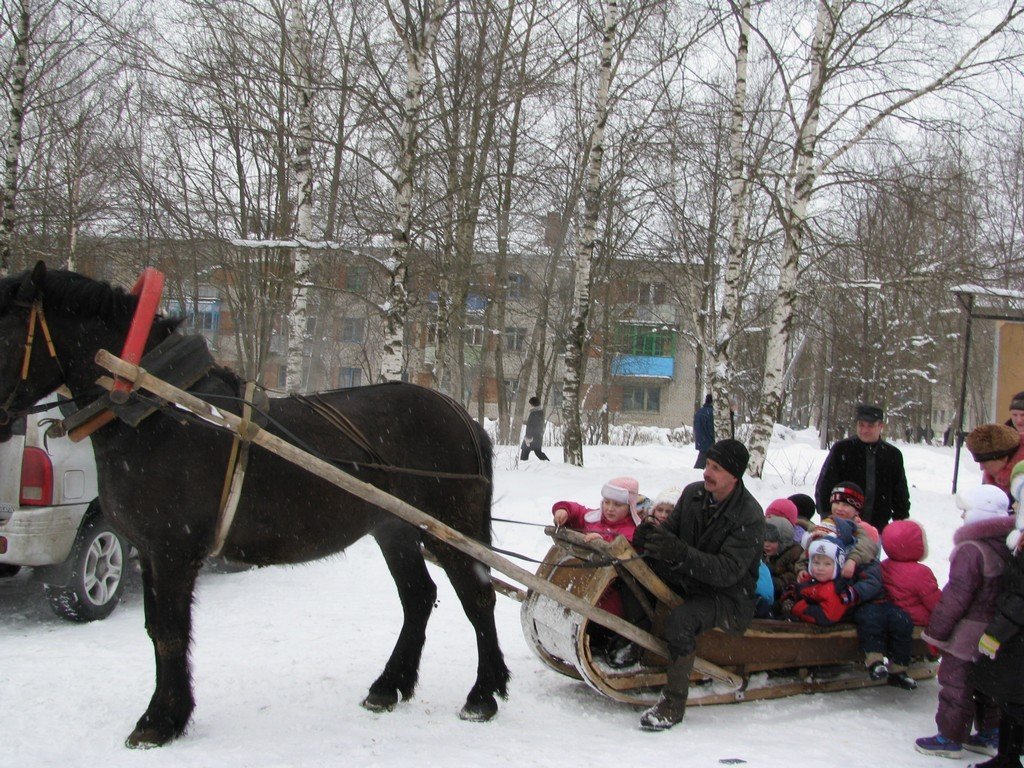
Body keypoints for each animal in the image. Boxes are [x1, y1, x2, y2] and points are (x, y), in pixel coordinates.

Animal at [0, 264, 509, 745]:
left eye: (4, 329)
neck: (159, 408)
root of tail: (464, 417)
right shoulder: (148, 550)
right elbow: (155, 629)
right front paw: (168, 714)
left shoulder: (172, 550)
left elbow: (170, 633)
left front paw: (160, 721)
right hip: (395, 530)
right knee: (419, 597)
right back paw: (389, 685)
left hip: (451, 527)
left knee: (478, 597)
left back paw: (483, 694)